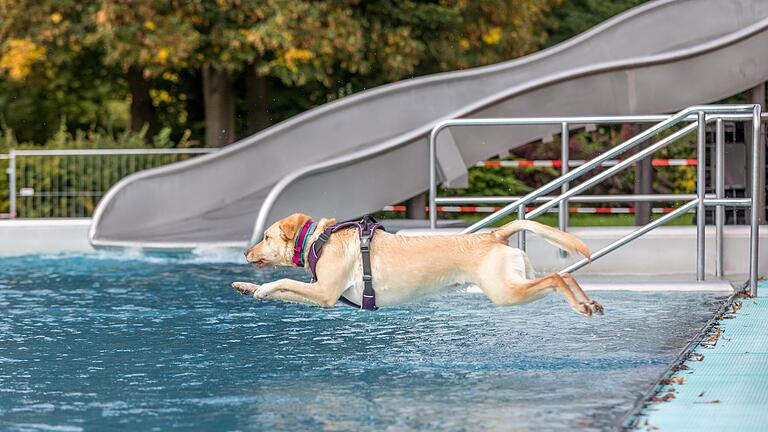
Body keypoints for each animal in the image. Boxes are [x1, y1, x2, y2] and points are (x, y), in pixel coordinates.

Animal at [231, 213, 604, 318]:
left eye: (265, 236)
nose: (245, 252)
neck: (317, 239)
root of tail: (495, 234)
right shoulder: (322, 296)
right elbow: (283, 291)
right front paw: (248, 288)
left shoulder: (324, 293)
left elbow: (283, 284)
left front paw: (261, 288)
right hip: (515, 281)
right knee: (564, 274)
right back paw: (589, 302)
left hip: (505, 291)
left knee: (557, 277)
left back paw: (582, 306)